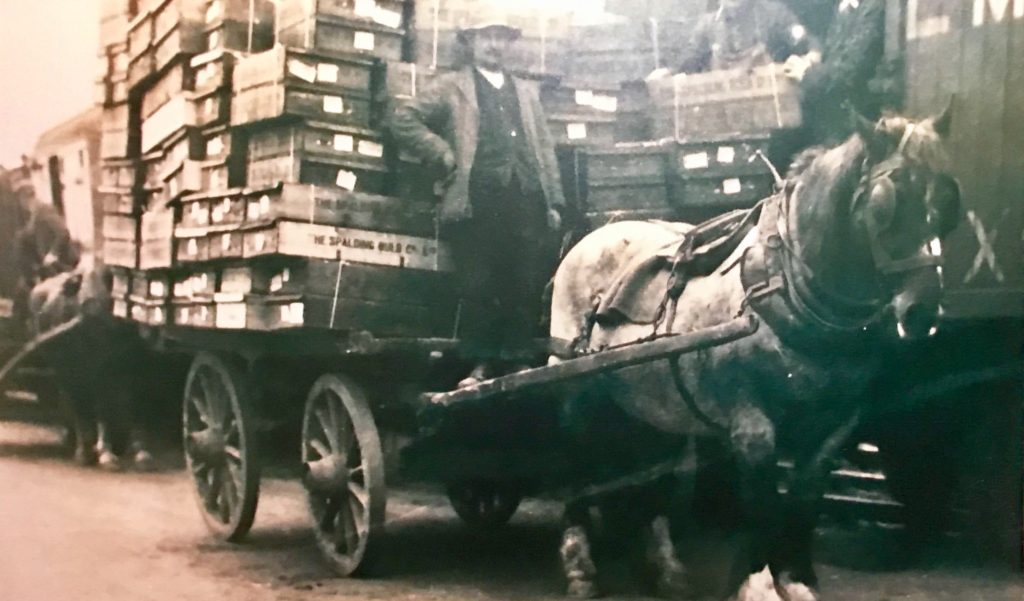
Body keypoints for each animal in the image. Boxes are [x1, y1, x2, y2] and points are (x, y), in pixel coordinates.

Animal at [552, 110, 958, 597]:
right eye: (884, 206)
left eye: (948, 203)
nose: (922, 310)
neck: (788, 288)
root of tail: (594, 234)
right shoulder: (752, 428)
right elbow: (762, 506)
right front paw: (759, 582)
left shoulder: (835, 427)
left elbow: (804, 500)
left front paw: (797, 579)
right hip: (574, 391)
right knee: (577, 466)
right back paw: (580, 565)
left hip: (646, 402)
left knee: (645, 470)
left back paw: (664, 567)